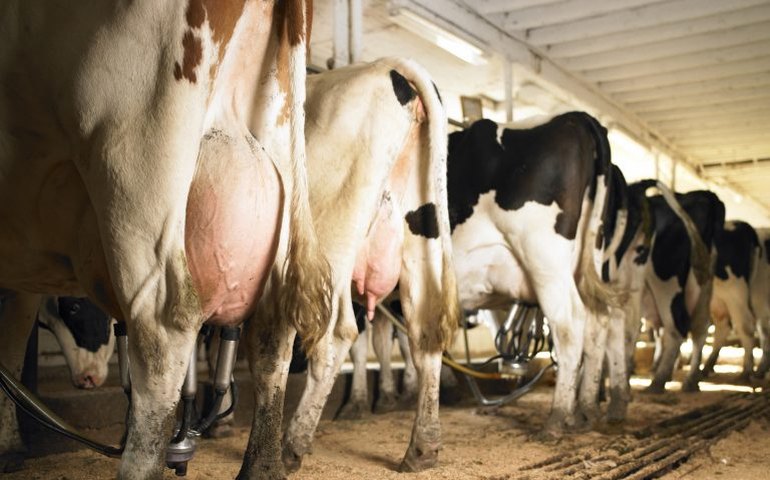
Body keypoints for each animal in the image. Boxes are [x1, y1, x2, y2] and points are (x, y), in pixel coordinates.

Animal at [0, 1, 331, 478]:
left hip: (132, 168)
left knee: (162, 332)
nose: (88, 378)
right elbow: (11, 344)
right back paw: (262, 465)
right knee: (273, 335)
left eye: (75, 308)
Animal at [234, 57, 458, 476]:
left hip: (324, 240)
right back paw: (422, 449)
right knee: (425, 335)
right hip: (421, 227)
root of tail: (389, 66)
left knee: (333, 334)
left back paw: (291, 445)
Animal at [446, 112, 623, 433]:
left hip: (544, 259)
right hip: (586, 260)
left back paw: (557, 419)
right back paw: (586, 410)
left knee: (570, 324)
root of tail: (576, 117)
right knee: (598, 321)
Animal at [638, 189, 724, 393]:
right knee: (700, 328)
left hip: (666, 283)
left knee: (677, 327)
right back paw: (691, 380)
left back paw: (658, 381)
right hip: (703, 284)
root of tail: (705, 195)